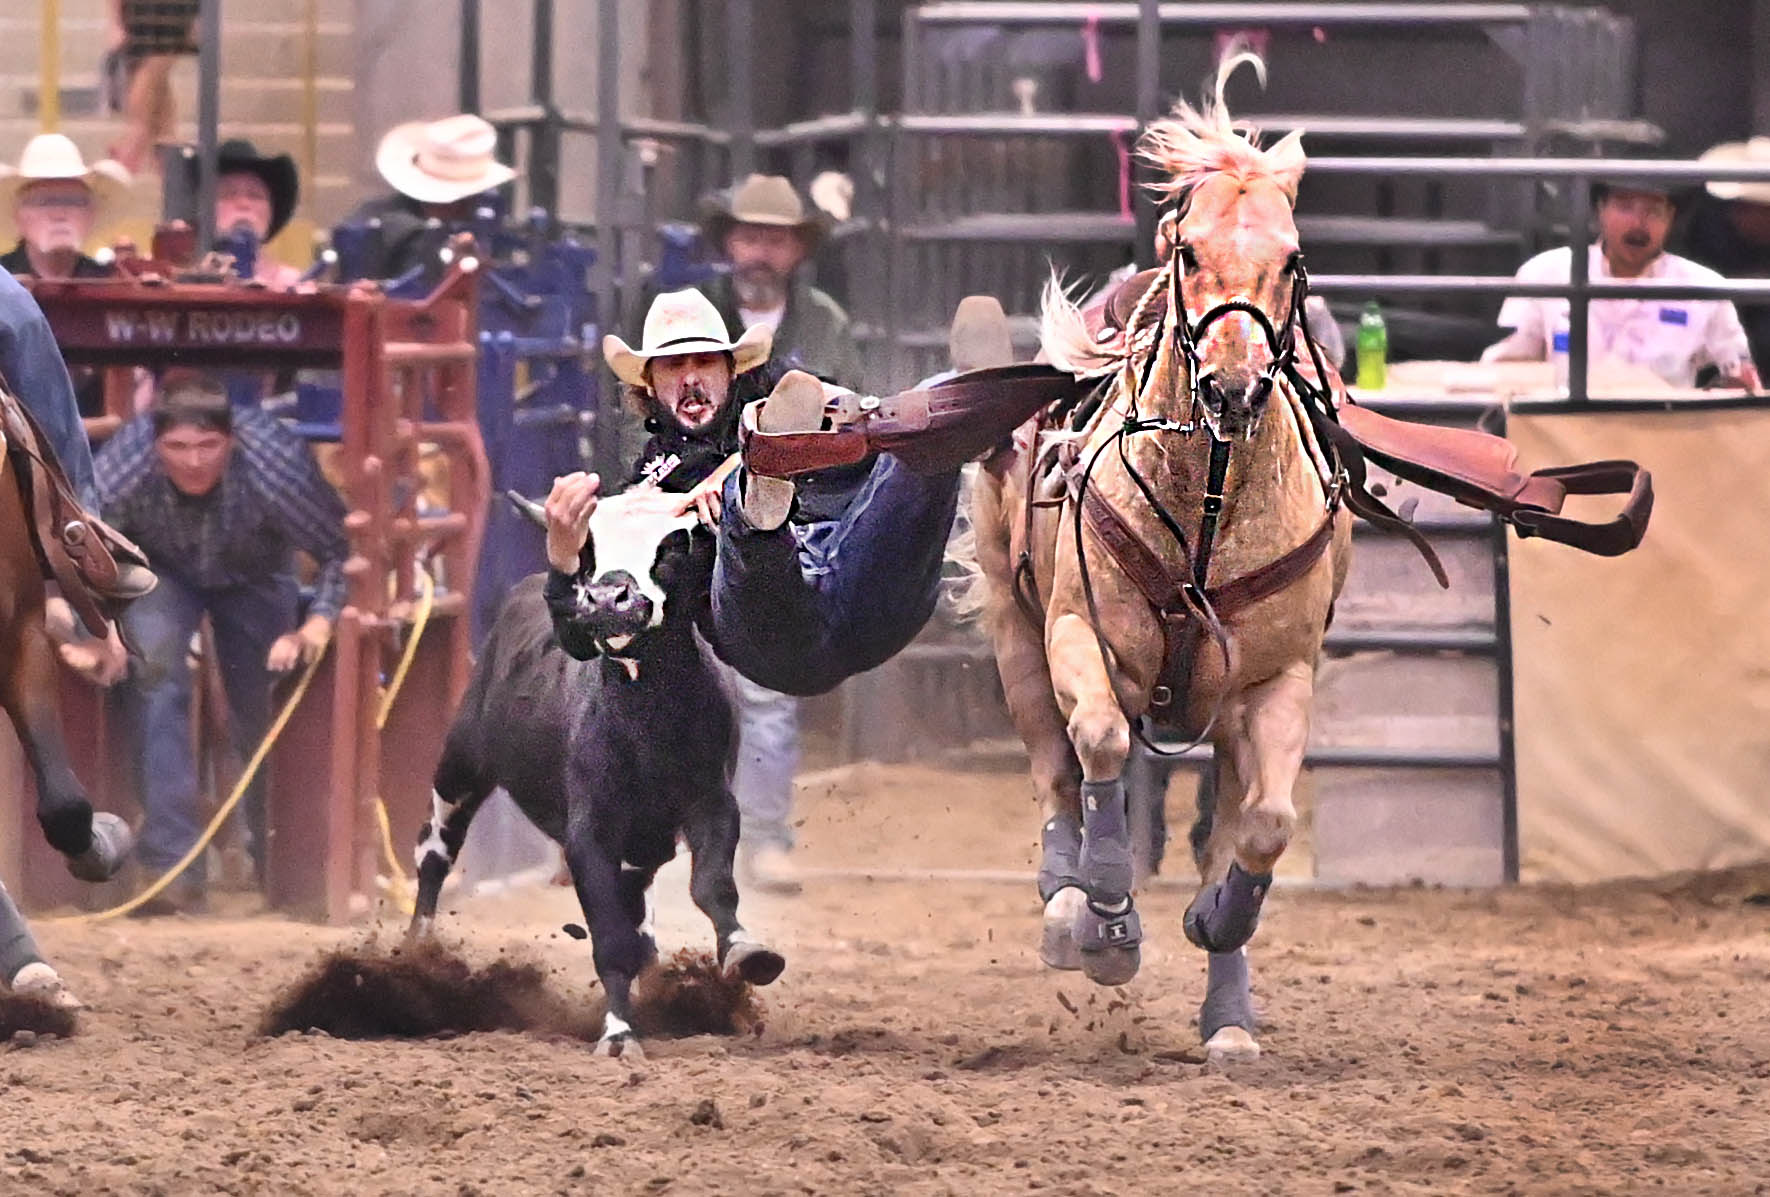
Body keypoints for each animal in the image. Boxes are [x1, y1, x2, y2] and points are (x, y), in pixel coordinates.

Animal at [969, 49, 1338, 1055]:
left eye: (1291, 259)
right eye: (1190, 251)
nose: (1234, 386)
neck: (1206, 512)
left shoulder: (1276, 681)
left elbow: (1265, 824)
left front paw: (1217, 925)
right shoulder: (1076, 633)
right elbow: (1097, 741)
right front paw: (1106, 914)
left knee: (1226, 818)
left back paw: (1227, 1012)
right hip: (1014, 630)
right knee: (1057, 768)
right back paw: (1068, 906)